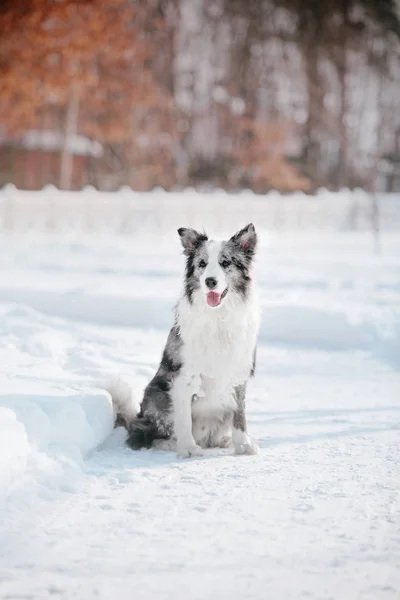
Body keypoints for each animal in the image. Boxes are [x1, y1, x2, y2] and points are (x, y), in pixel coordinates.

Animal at [111, 223, 260, 458]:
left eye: (226, 262)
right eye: (202, 264)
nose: (210, 281)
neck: (217, 316)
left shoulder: (238, 373)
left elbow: (240, 415)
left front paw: (243, 445)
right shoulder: (183, 377)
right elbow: (184, 419)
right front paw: (188, 449)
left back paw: (221, 440)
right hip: (157, 395)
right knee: (146, 436)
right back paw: (172, 444)